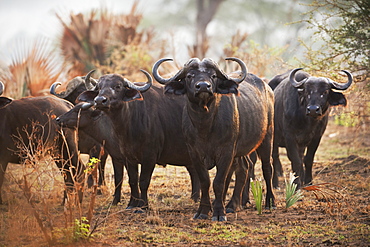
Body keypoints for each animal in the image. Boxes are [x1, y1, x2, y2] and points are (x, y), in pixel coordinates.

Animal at [76, 70, 201, 210]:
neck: (129, 123)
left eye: (118, 86)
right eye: (98, 87)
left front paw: (143, 206)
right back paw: (195, 198)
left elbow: (143, 181)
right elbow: (133, 180)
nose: (99, 100)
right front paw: (132, 204)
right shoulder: (128, 157)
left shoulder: (150, 157)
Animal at [152, 57, 276, 221]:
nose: (203, 86)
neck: (205, 125)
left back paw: (270, 202)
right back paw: (232, 204)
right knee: (244, 167)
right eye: (189, 76)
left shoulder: (226, 151)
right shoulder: (194, 153)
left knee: (267, 168)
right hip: (241, 149)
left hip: (267, 137)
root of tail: (267, 88)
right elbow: (205, 181)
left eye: (213, 75)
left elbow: (219, 181)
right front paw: (203, 211)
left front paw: (218, 213)